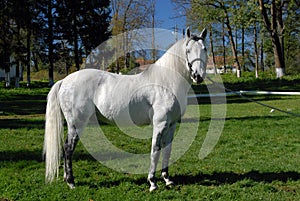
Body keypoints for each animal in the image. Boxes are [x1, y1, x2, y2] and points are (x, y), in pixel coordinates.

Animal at [43, 27, 207, 192]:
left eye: (204, 49)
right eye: (187, 50)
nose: (198, 76)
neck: (166, 81)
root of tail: (64, 81)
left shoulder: (172, 124)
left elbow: (167, 150)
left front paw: (167, 180)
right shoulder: (159, 124)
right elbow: (155, 150)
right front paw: (152, 183)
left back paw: (67, 179)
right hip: (76, 124)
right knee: (68, 149)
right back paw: (71, 182)